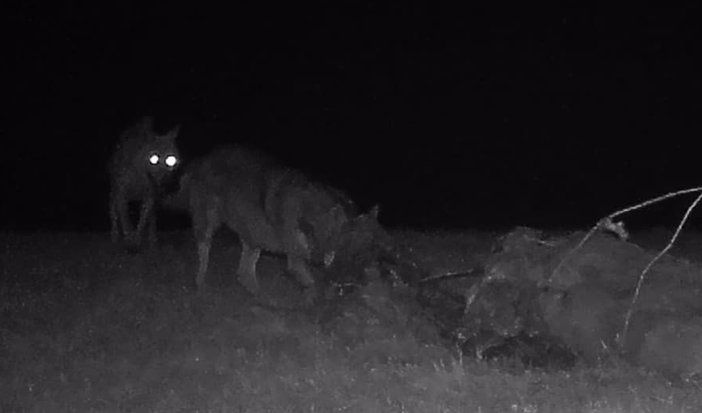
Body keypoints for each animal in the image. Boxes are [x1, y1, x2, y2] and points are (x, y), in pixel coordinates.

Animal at [108, 116, 180, 248]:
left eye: (171, 160)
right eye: (154, 159)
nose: (164, 179)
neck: (140, 176)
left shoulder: (150, 196)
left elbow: (144, 219)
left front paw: (137, 239)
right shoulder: (121, 195)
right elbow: (125, 219)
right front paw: (129, 239)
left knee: (152, 217)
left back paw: (152, 238)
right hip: (113, 193)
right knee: (113, 213)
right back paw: (115, 236)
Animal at [176, 145, 381, 293]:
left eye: (369, 248)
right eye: (349, 250)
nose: (360, 281)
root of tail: (200, 159)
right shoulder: (295, 260)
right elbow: (313, 284)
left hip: (253, 237)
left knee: (244, 275)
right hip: (208, 226)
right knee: (205, 260)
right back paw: (202, 285)